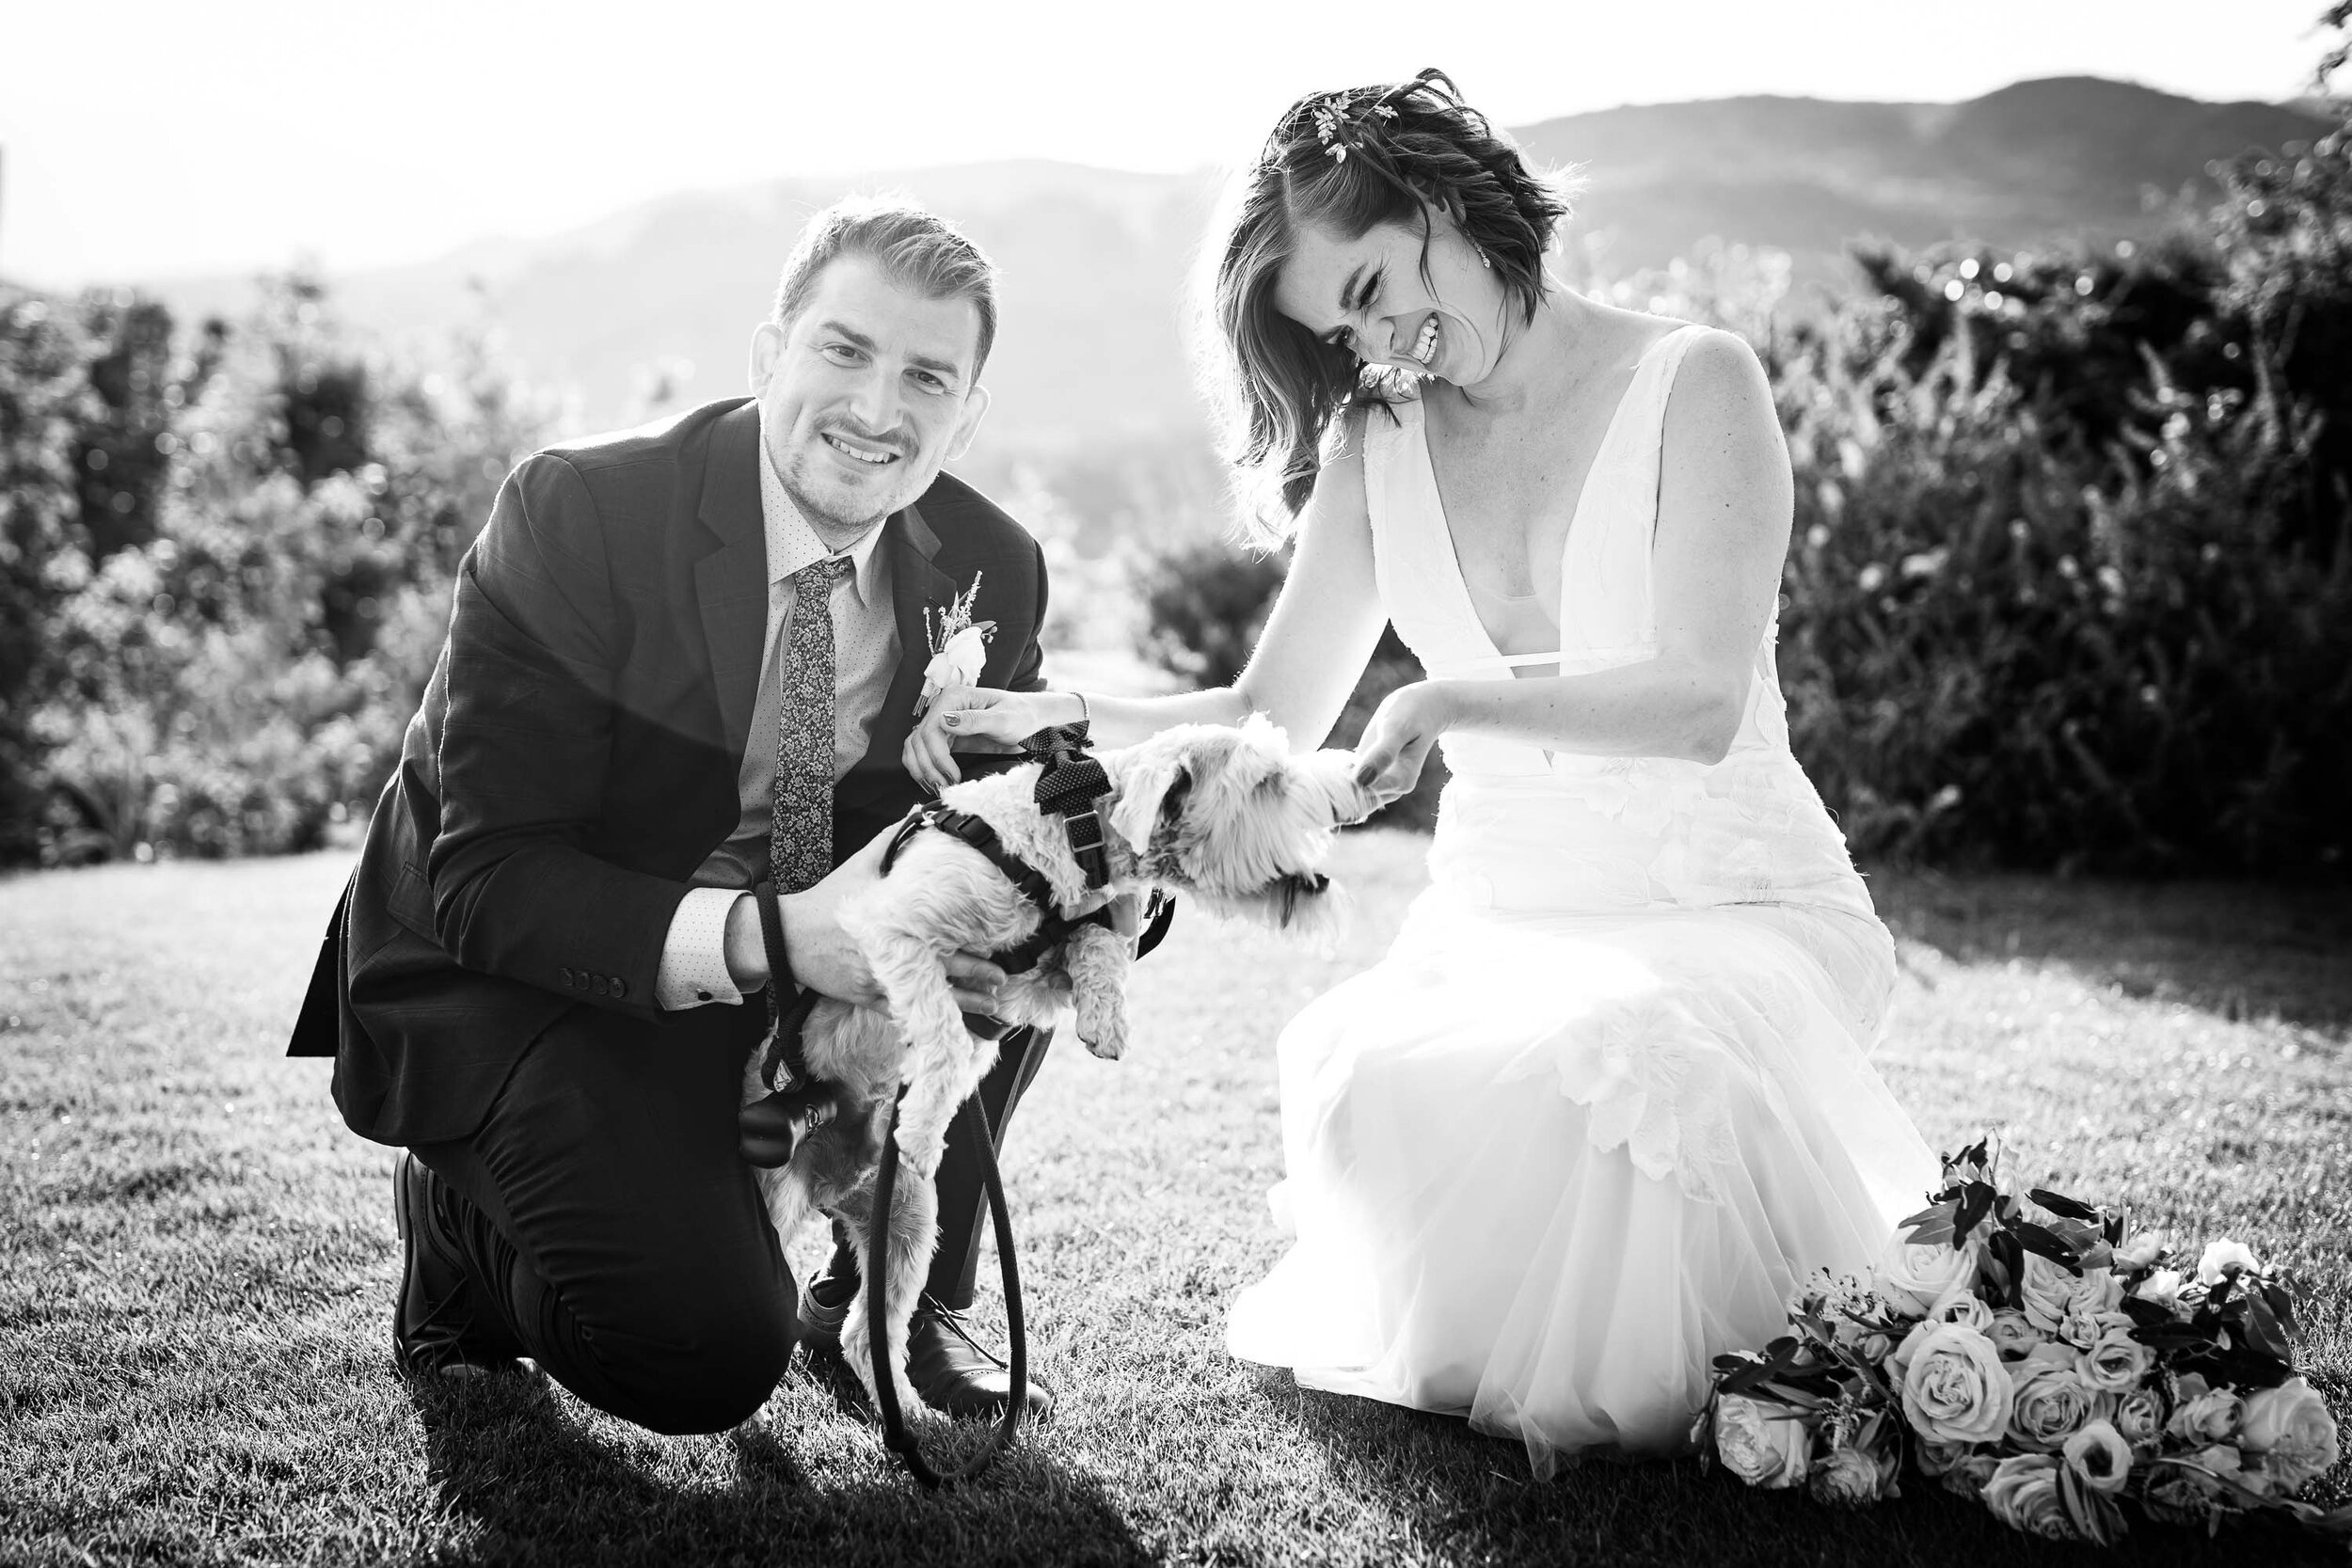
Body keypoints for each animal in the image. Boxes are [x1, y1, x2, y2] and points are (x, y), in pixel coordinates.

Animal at [743, 719, 1374, 1419]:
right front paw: (926, 1128)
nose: (1359, 784)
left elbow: (1095, 943)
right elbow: (943, 1030)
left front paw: (1105, 1015)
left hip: (908, 1225)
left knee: (863, 1332)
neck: (1064, 830)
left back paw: (909, 1412)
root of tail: (833, 1178)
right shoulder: (890, 933)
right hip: (778, 1201)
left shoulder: (1040, 970)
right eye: (1269, 779)